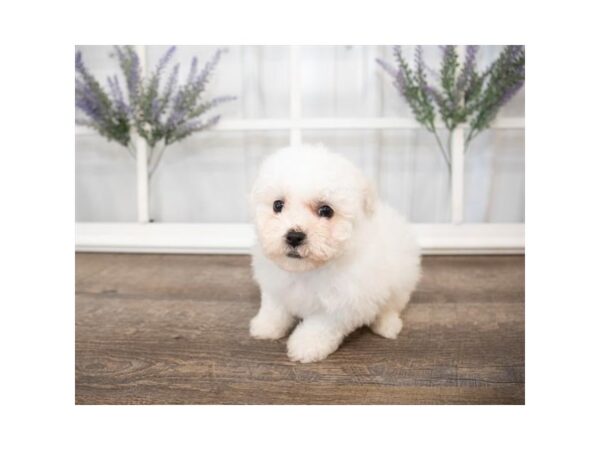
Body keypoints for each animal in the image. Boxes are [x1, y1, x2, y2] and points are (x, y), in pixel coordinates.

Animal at [246, 144, 420, 362]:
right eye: (278, 205)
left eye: (326, 211)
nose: (294, 236)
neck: (306, 271)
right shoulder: (275, 285)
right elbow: (274, 308)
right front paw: (266, 326)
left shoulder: (342, 303)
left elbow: (320, 325)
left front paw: (306, 345)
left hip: (400, 280)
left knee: (390, 305)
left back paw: (387, 325)